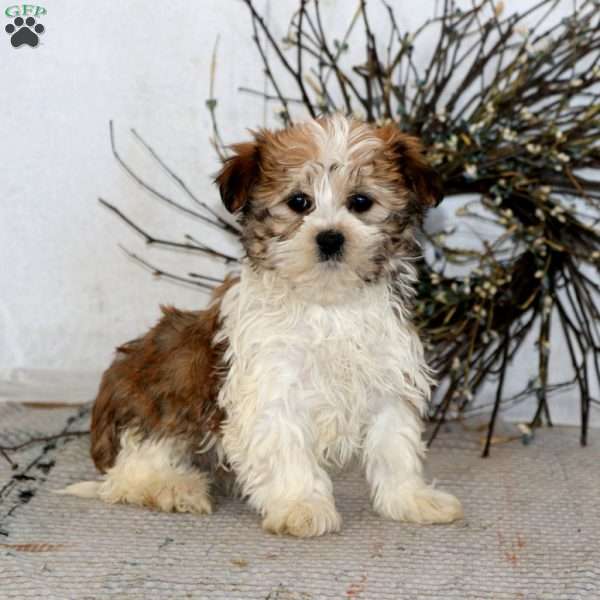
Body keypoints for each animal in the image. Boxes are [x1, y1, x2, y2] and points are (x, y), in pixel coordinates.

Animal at [62, 115, 464, 536]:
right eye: (299, 202)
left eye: (360, 202)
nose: (330, 238)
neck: (329, 306)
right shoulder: (271, 388)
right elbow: (287, 450)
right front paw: (301, 506)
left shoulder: (387, 379)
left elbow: (395, 446)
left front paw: (411, 499)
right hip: (155, 408)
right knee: (129, 477)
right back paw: (176, 488)